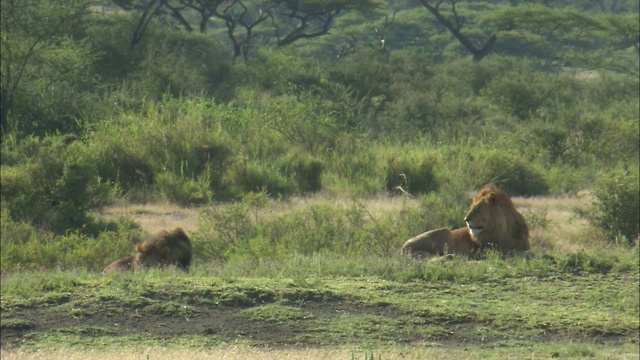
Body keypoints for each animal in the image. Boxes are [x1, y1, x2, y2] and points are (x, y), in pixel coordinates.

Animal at [402, 184, 532, 258]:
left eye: (478, 208)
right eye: (471, 207)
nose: (466, 219)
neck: (504, 231)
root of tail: (402, 248)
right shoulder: (487, 250)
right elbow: (512, 251)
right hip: (446, 232)